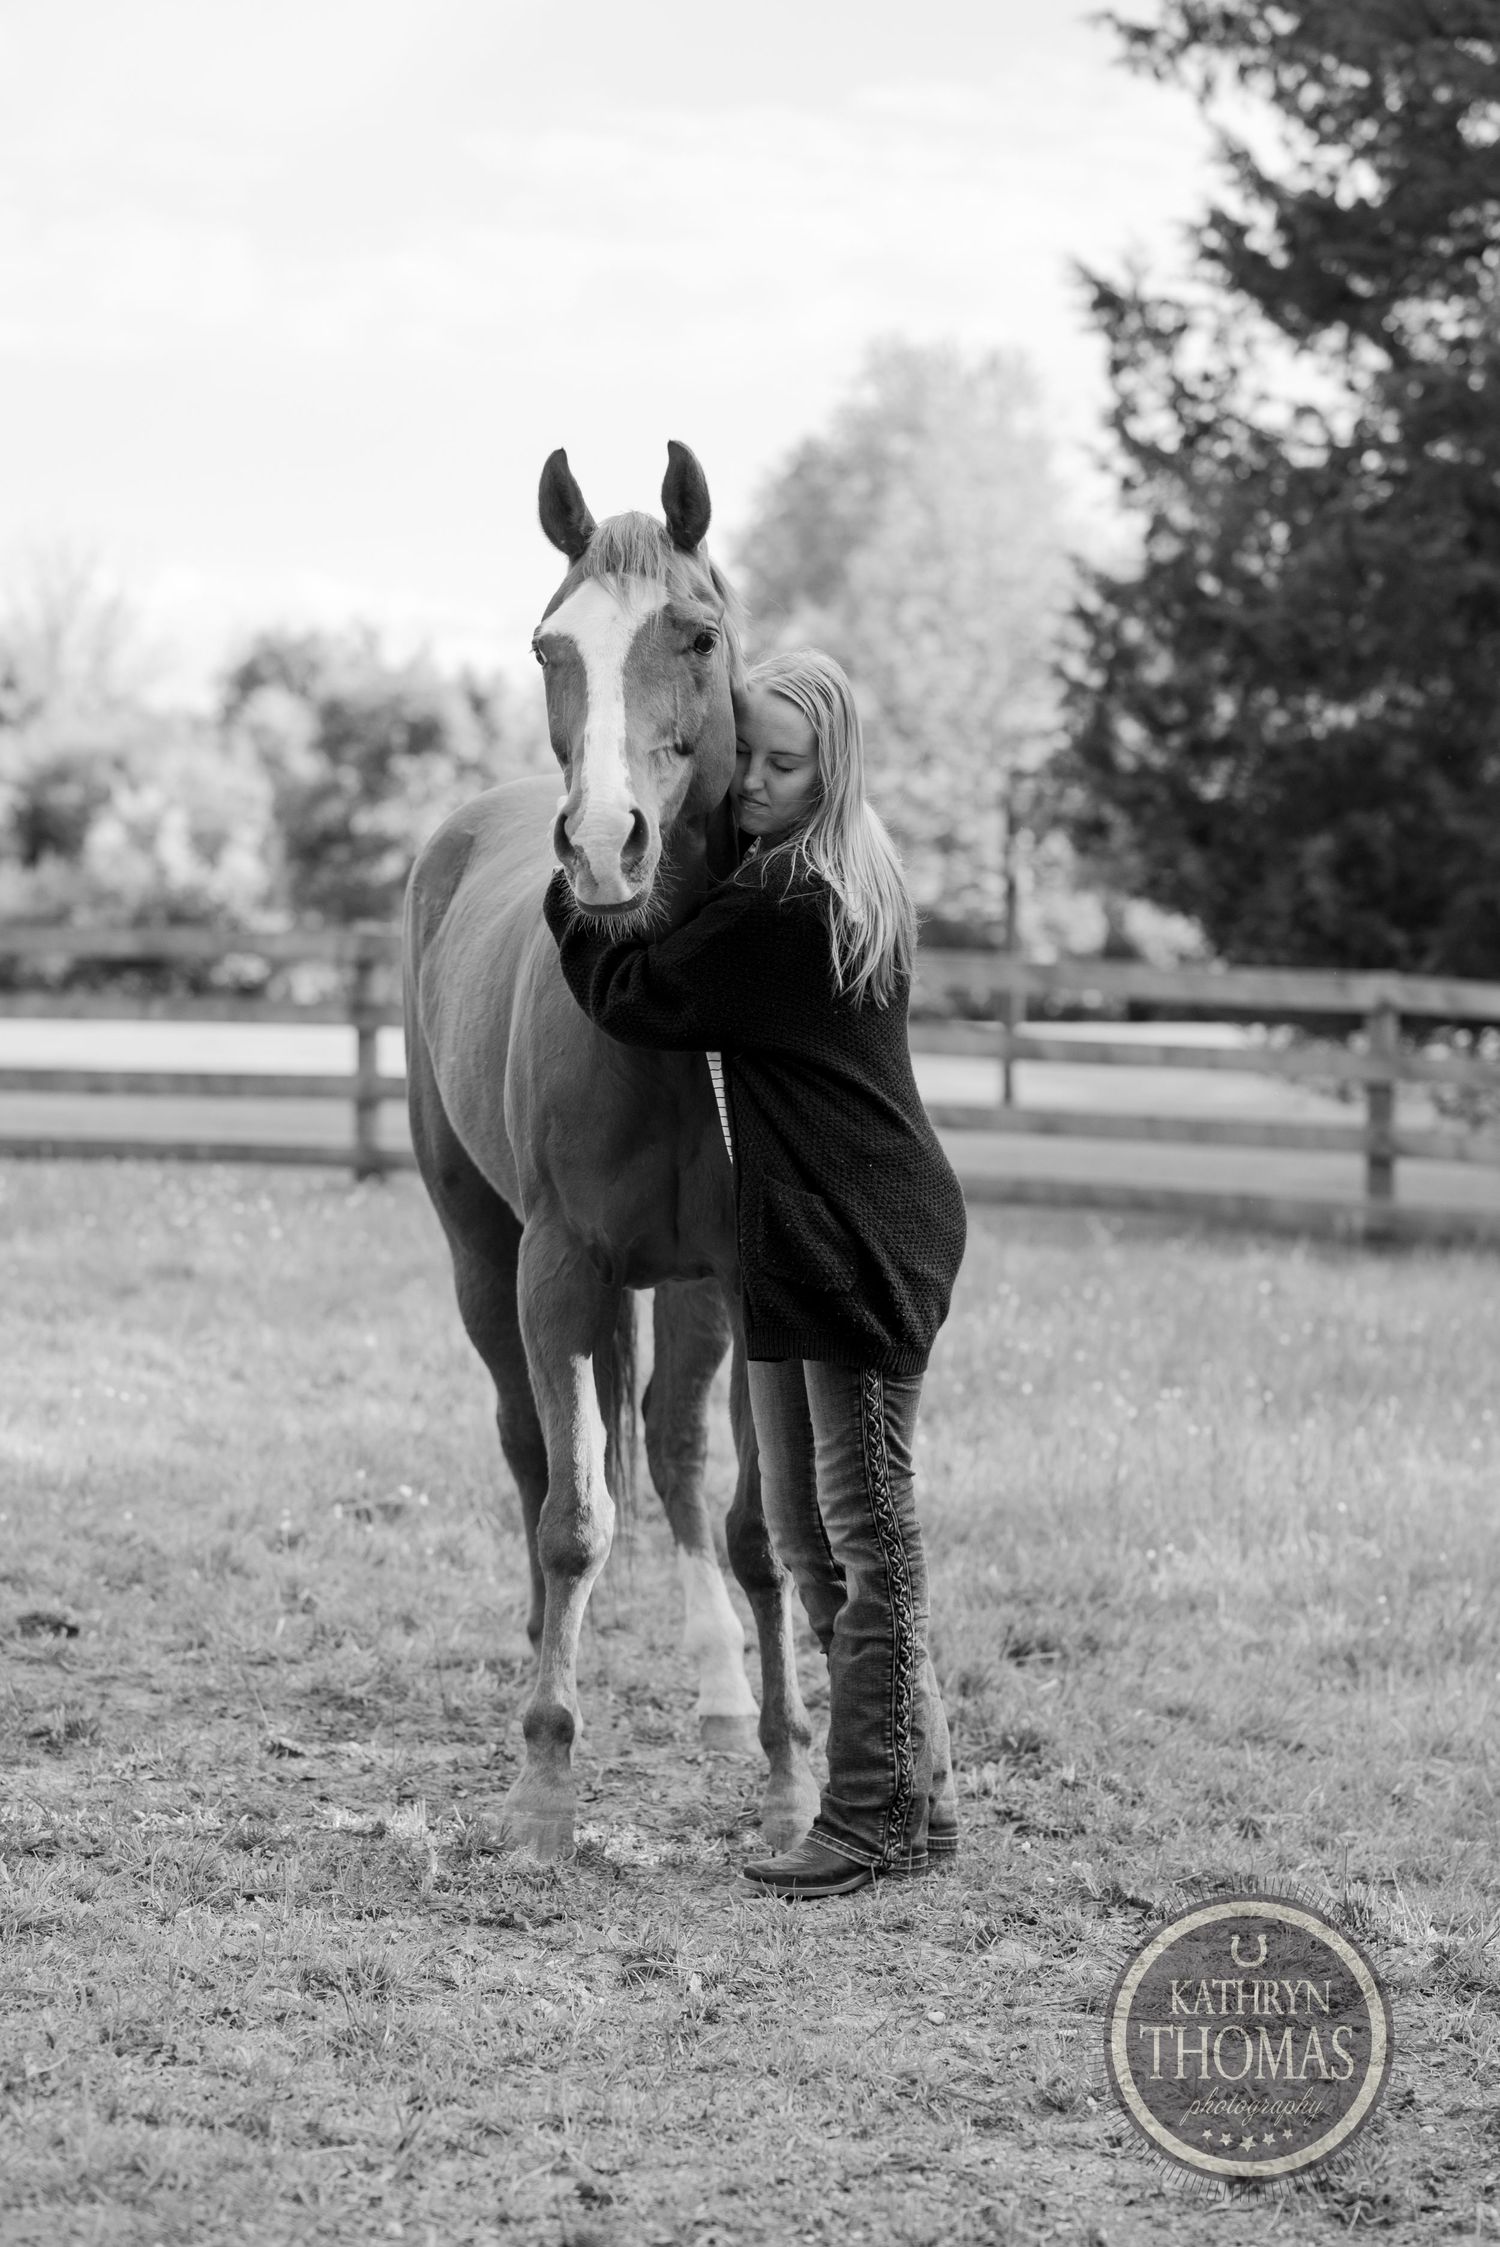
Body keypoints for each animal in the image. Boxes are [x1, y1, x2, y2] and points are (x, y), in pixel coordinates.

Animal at [402, 441, 821, 1860]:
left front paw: (788, 1776)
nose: (601, 848)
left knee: (683, 1460)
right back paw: (543, 1654)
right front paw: (545, 1782)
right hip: (484, 1259)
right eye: (549, 648)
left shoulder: (750, 1282)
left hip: (692, 1294)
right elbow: (573, 1517)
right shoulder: (558, 1272)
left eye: (696, 636)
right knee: (532, 1451)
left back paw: (720, 1693)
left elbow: (758, 1524)